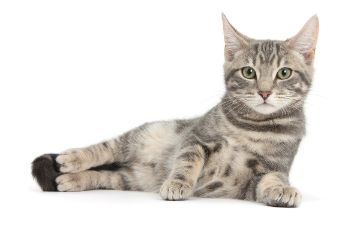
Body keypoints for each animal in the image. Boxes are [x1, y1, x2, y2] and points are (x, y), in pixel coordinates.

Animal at [31, 13, 318, 208]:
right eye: (249, 72)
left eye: (284, 73)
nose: (265, 92)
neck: (253, 125)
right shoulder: (197, 137)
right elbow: (187, 161)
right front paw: (178, 183)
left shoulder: (266, 171)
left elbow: (272, 180)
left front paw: (283, 191)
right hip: (143, 135)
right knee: (106, 148)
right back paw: (72, 159)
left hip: (130, 178)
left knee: (108, 176)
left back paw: (73, 180)